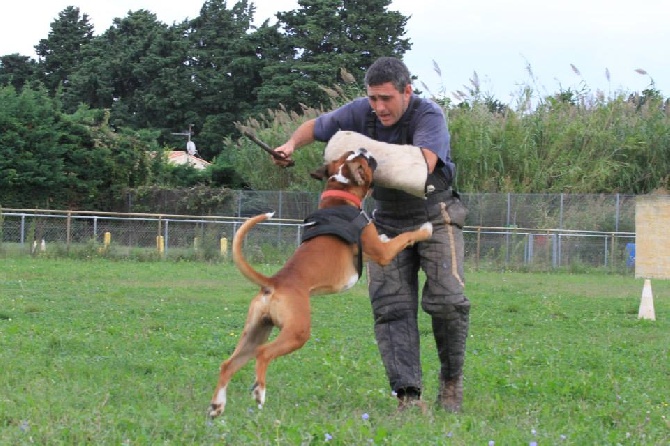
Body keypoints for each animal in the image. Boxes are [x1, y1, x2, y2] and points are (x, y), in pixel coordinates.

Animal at [207, 148, 434, 416]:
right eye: (363, 160)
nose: (364, 149)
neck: (341, 193)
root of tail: (274, 282)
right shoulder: (382, 254)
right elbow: (405, 236)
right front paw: (425, 229)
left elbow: (392, 238)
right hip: (296, 333)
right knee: (263, 354)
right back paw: (259, 392)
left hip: (255, 332)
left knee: (228, 364)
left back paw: (217, 406)